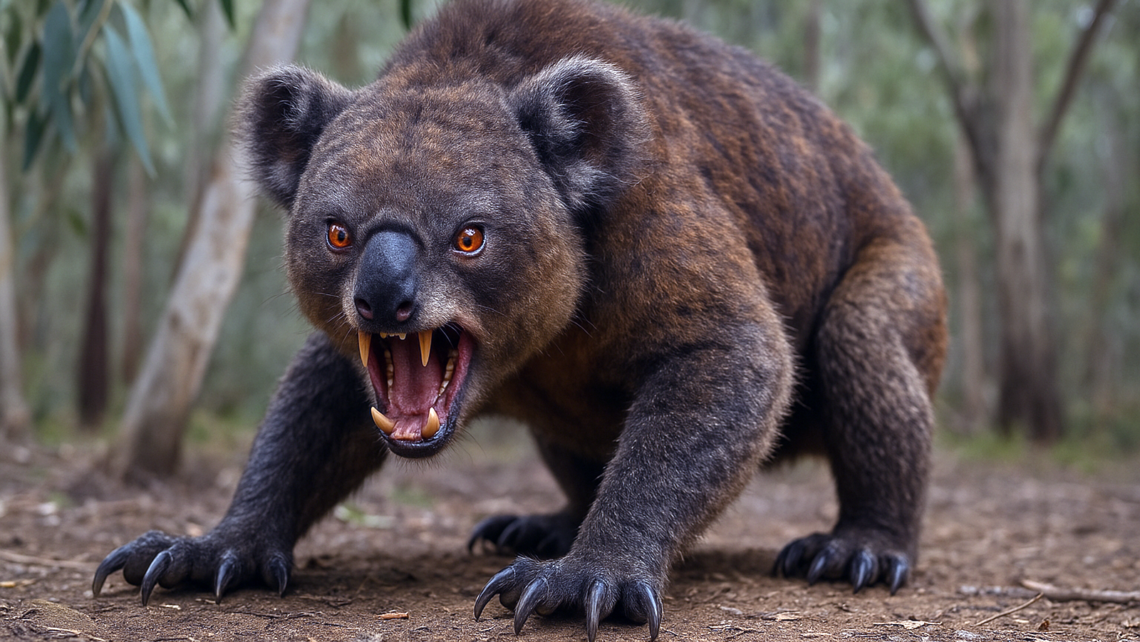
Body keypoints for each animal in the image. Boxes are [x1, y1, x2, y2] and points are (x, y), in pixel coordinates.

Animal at [93, 0, 948, 640]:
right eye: (337, 233)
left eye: (470, 236)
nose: (382, 298)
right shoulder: (354, 360)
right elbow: (309, 418)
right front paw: (211, 550)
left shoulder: (657, 219)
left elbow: (733, 353)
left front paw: (589, 577)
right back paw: (544, 523)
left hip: (900, 277)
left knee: (859, 342)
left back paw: (859, 549)